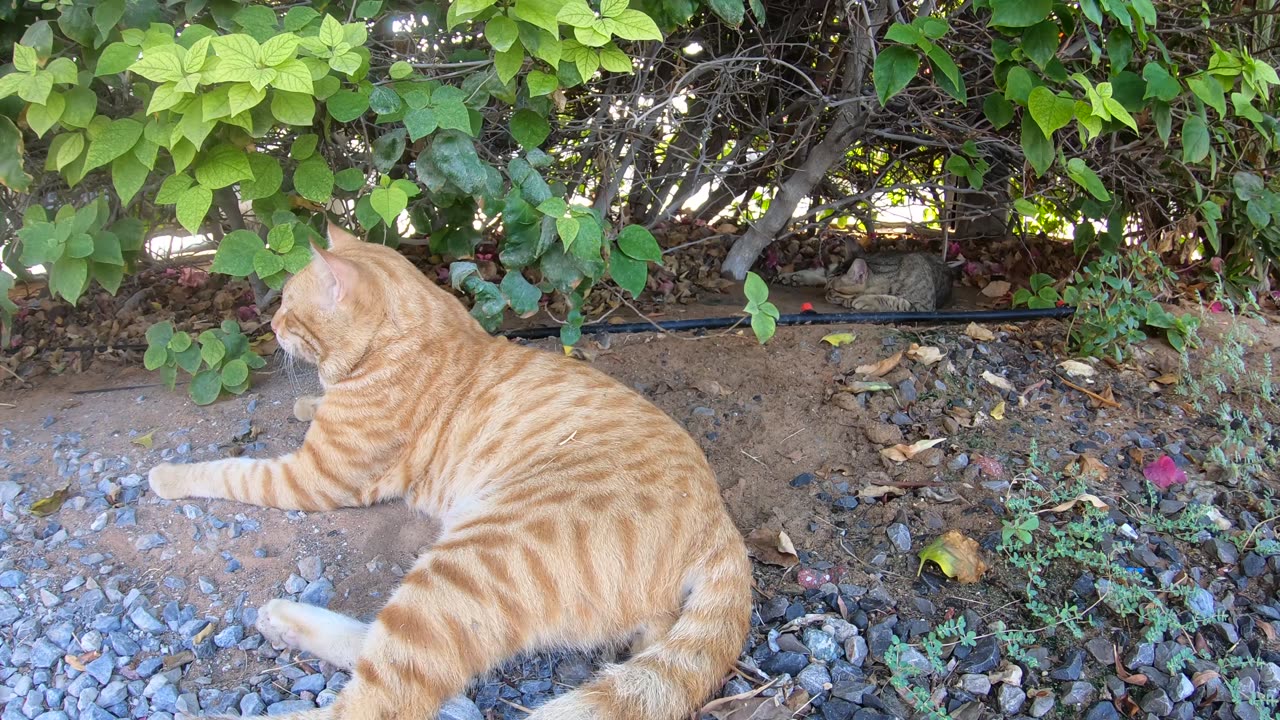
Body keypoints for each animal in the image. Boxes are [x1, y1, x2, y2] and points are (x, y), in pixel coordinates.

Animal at [149, 221, 752, 712]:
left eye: (290, 307)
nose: (270, 324)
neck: (412, 334)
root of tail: (721, 523)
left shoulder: (312, 477)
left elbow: (230, 469)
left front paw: (167, 476)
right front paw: (305, 403)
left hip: (469, 563)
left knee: (392, 690)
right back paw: (284, 621)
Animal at [773, 251, 957, 310]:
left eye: (833, 290)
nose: (825, 293)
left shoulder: (923, 307)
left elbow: (896, 301)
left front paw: (864, 300)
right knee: (822, 273)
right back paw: (792, 276)